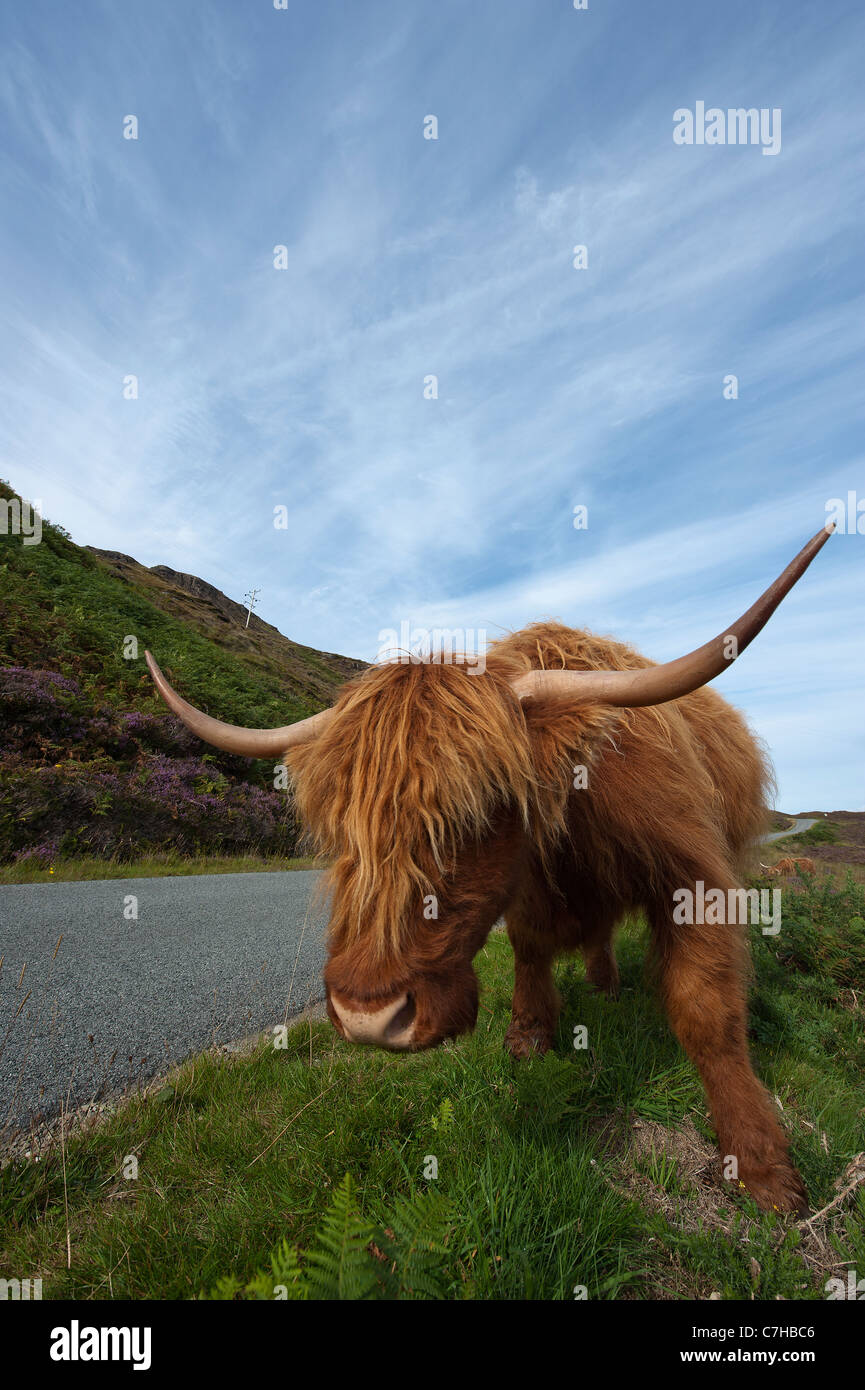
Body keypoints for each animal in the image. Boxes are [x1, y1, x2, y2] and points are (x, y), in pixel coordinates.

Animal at [145, 524, 834, 1212]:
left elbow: (705, 1010)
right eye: (343, 827)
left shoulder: (693, 877)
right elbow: (529, 952)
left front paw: (762, 1167)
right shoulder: (528, 889)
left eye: (482, 811)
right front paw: (528, 1037)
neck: (576, 811)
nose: (369, 1018)